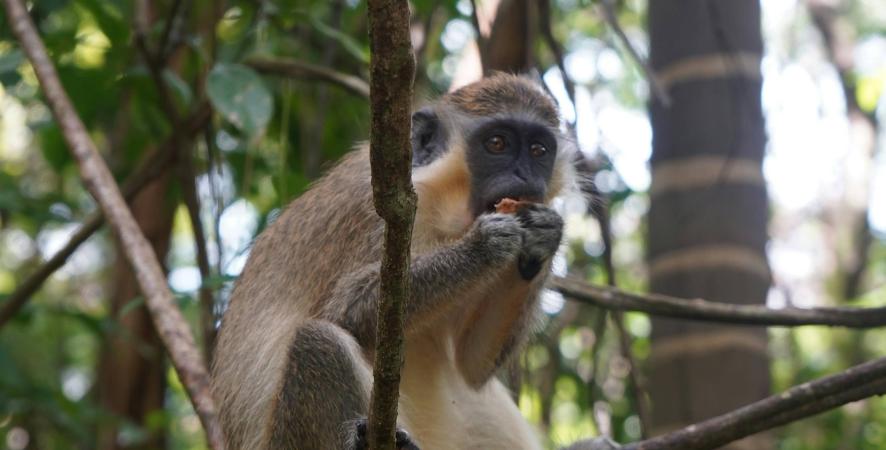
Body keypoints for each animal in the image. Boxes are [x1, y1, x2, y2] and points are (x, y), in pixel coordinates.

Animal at [211, 74, 619, 450]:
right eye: (497, 144)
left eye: (538, 150)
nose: (525, 176)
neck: (445, 210)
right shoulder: (376, 205)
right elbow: (346, 310)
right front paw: (482, 247)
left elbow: (472, 366)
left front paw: (545, 235)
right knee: (317, 342)